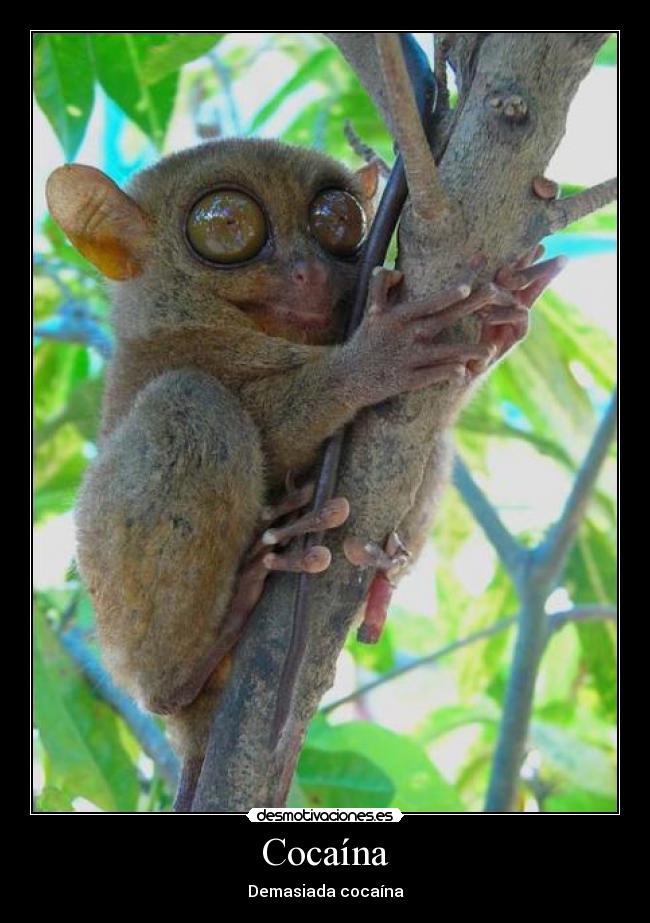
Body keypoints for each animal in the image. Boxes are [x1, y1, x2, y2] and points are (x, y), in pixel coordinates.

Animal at [45, 138, 563, 811]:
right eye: (226, 226)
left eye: (337, 221)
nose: (308, 271)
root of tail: (188, 738)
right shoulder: (175, 350)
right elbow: (270, 428)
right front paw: (376, 356)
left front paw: (505, 318)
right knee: (190, 405)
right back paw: (202, 648)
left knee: (437, 441)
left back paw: (378, 588)